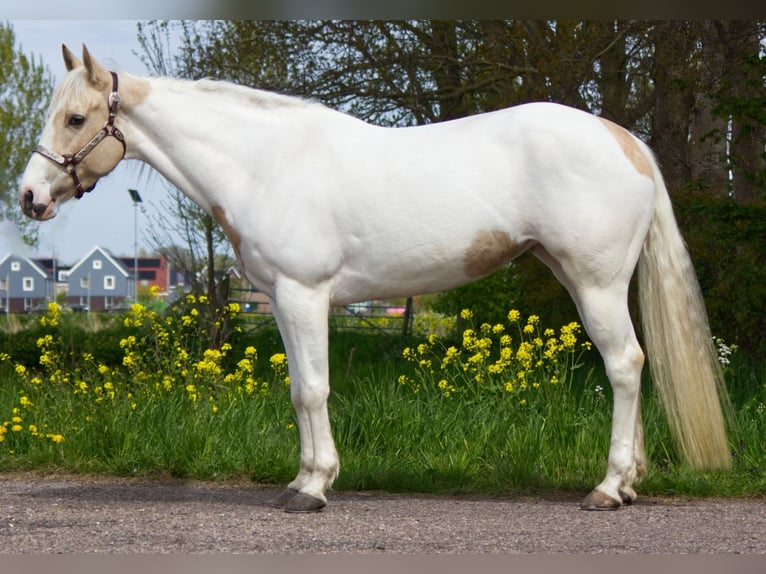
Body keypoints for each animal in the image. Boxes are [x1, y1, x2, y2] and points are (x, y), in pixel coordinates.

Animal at [20, 45, 731, 513]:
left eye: (76, 119)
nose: (30, 197)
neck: (263, 164)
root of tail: (623, 140)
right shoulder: (282, 301)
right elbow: (297, 390)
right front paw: (302, 479)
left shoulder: (306, 294)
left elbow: (313, 390)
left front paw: (312, 489)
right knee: (630, 366)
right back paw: (629, 481)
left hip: (596, 283)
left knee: (625, 366)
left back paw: (608, 489)